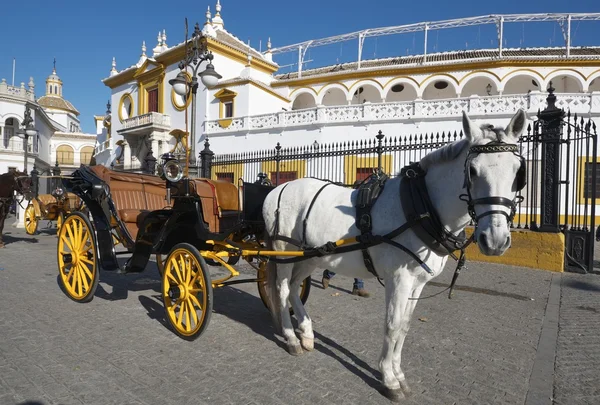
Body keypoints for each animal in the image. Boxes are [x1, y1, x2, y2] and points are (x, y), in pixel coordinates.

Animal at [260, 108, 528, 400]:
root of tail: (277, 189)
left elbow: (405, 326)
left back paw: (307, 333)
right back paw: (291, 338)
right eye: (472, 171)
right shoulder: (399, 279)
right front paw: (389, 379)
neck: (421, 207)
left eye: (518, 173)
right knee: (283, 289)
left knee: (296, 286)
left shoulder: (418, 282)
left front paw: (398, 374)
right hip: (284, 253)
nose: (495, 240)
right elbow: (393, 324)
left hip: (312, 255)